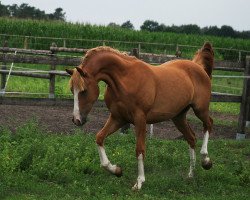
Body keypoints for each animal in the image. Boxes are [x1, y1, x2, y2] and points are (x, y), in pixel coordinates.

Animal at [65, 42, 214, 191]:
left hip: (200, 109)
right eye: (72, 90)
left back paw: (206, 160)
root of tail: (198, 66)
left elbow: (140, 149)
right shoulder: (118, 118)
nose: (76, 120)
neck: (125, 79)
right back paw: (191, 174)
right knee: (191, 138)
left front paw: (139, 182)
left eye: (84, 91)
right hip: (178, 117)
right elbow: (99, 138)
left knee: (208, 124)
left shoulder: (140, 119)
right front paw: (117, 170)